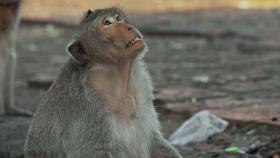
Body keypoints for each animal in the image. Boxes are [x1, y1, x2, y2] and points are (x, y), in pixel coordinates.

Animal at [23, 7, 183, 158]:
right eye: (107, 23)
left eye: (118, 18)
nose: (129, 27)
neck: (117, 72)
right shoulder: (88, 105)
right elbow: (92, 151)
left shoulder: (142, 84)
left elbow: (153, 139)